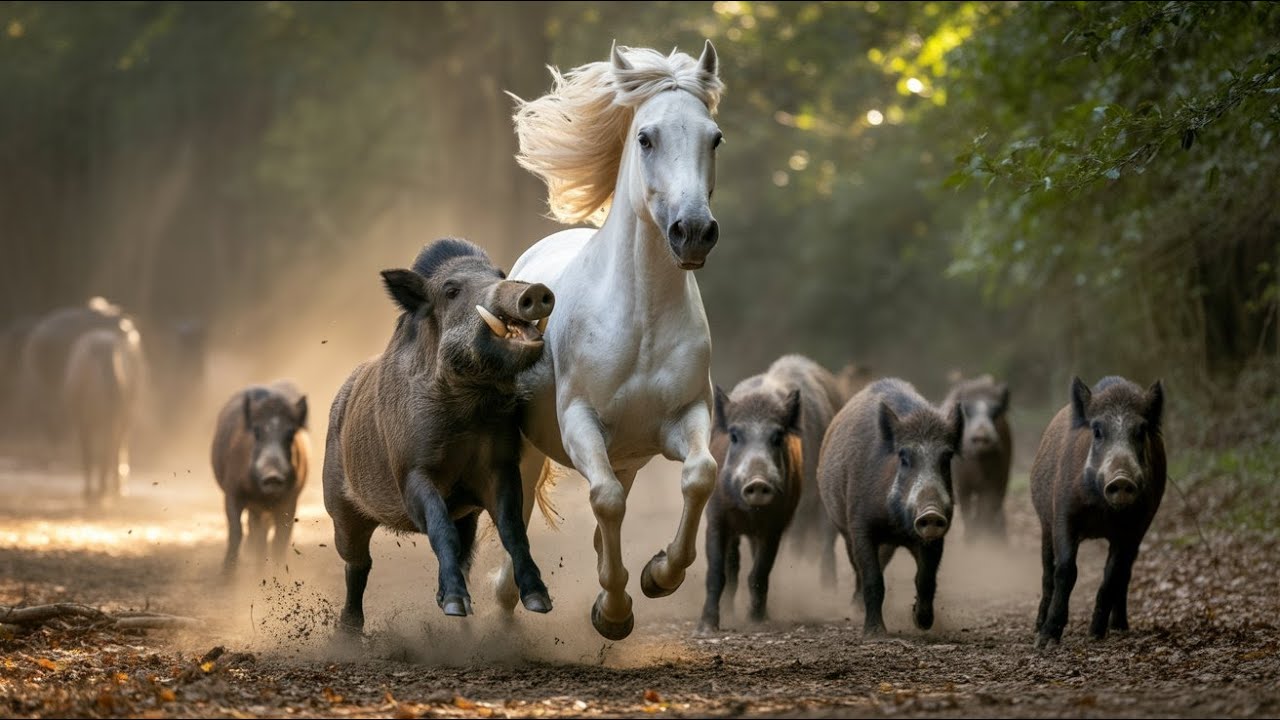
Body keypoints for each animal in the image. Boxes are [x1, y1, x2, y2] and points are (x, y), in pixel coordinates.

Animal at [494, 41, 725, 640]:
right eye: (645, 138)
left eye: (714, 137)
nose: (694, 232)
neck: (639, 321)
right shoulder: (582, 424)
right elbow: (606, 501)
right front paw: (615, 611)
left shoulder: (684, 418)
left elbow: (699, 477)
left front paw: (658, 575)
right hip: (529, 449)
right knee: (519, 511)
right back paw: (507, 599)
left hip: (628, 455)